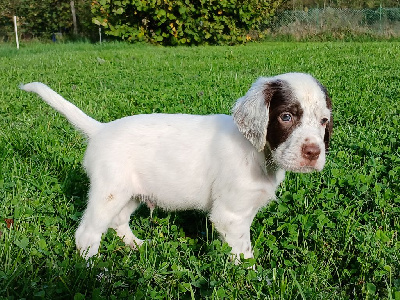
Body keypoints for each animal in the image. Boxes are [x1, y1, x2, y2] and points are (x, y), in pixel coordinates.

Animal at [22, 72, 334, 260]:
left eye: (323, 121)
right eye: (286, 117)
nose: (313, 152)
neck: (258, 153)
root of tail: (100, 129)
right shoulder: (230, 215)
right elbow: (244, 254)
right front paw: (251, 276)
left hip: (130, 193)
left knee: (118, 221)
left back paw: (136, 245)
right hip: (108, 192)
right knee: (86, 234)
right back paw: (92, 271)